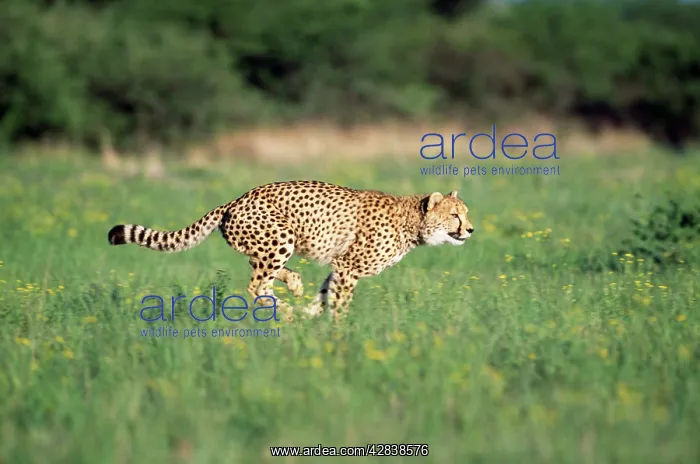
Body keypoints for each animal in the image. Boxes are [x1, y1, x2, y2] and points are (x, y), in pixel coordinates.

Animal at [107, 180, 475, 319]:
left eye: (466, 212)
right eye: (454, 215)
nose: (470, 229)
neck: (413, 221)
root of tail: (236, 199)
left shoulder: (340, 266)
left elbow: (326, 294)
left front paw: (312, 314)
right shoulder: (349, 266)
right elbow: (340, 303)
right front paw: (340, 331)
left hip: (269, 244)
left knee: (262, 277)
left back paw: (293, 290)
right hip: (280, 236)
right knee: (256, 286)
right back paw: (282, 310)